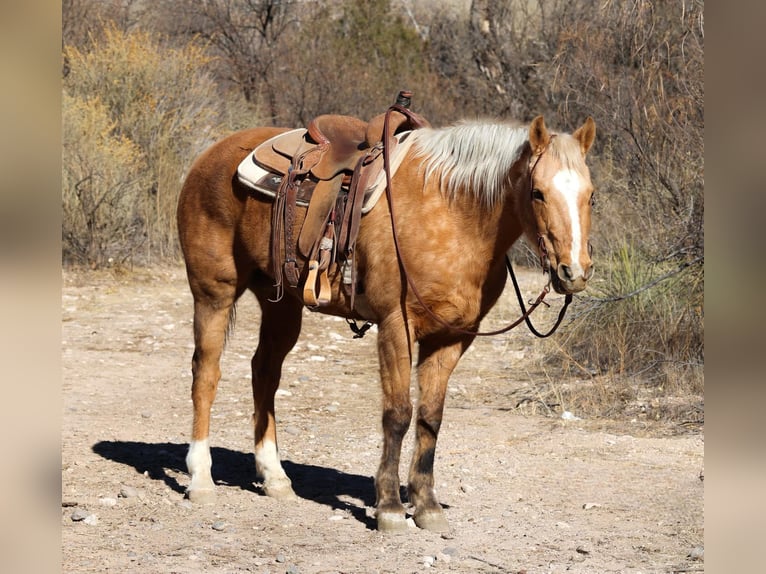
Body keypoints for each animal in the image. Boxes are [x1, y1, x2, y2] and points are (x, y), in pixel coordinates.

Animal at [176, 111, 596, 533]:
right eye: (537, 193)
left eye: (590, 195)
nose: (573, 272)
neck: (452, 213)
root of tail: (210, 155)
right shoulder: (397, 325)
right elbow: (397, 414)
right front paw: (391, 507)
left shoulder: (452, 338)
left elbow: (430, 418)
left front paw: (427, 505)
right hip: (214, 293)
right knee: (205, 373)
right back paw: (201, 479)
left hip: (280, 304)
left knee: (264, 372)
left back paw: (274, 477)